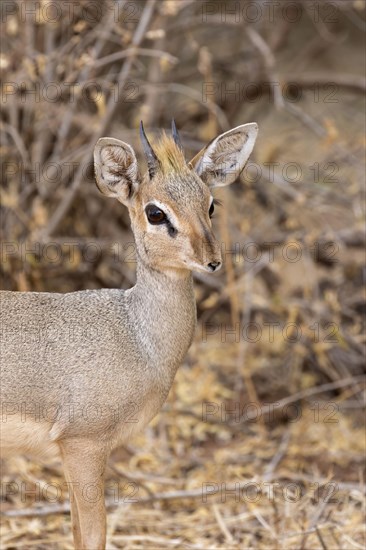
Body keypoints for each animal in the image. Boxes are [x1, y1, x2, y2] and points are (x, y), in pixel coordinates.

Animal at [0, 123, 258, 548]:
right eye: (155, 212)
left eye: (211, 204)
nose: (212, 261)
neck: (138, 337)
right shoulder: (83, 444)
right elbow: (93, 535)